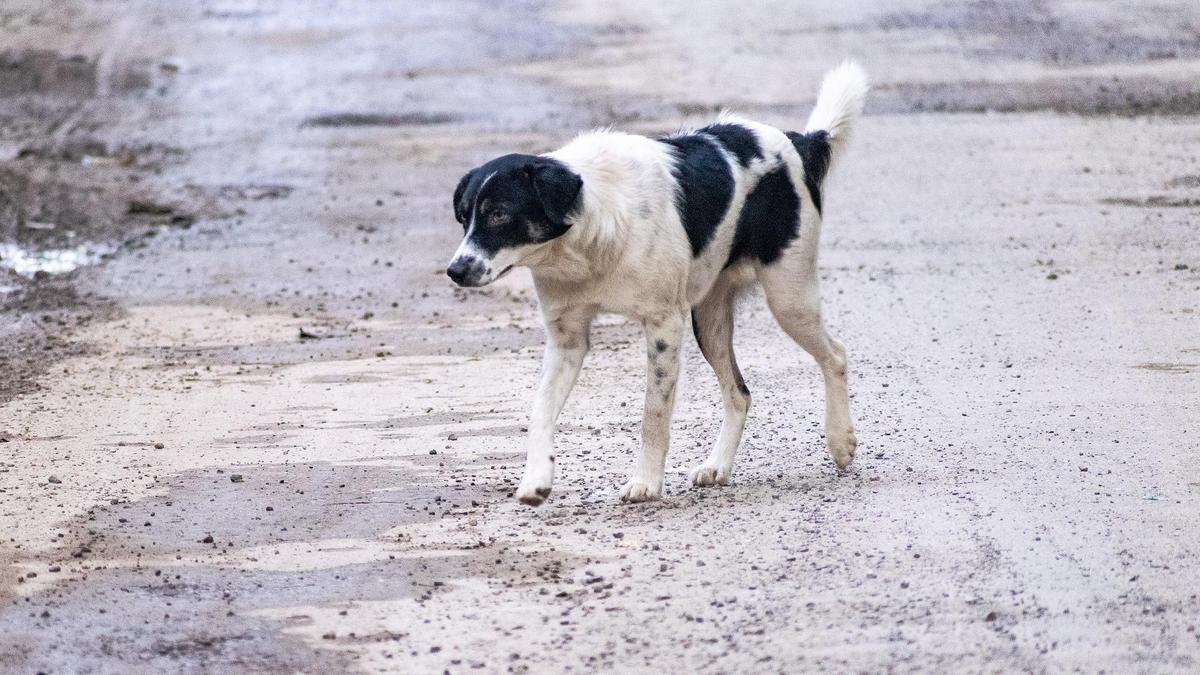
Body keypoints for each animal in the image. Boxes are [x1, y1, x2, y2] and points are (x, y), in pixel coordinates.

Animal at [446, 64, 868, 504]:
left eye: (498, 213)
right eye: (463, 217)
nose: (455, 270)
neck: (586, 237)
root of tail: (798, 140)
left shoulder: (664, 325)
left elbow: (654, 413)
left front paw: (646, 482)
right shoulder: (567, 339)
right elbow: (540, 410)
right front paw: (536, 479)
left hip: (788, 297)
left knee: (835, 356)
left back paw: (840, 440)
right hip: (710, 320)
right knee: (739, 393)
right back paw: (718, 465)